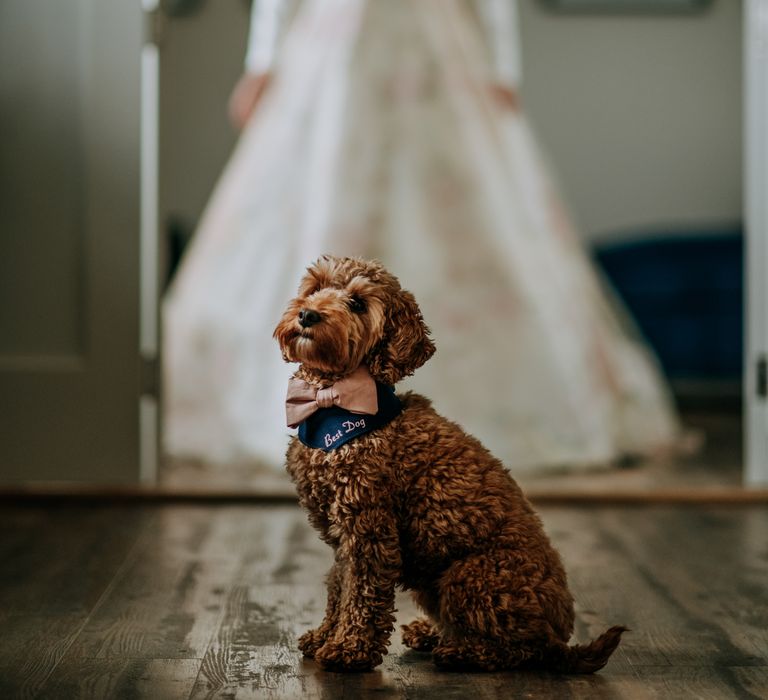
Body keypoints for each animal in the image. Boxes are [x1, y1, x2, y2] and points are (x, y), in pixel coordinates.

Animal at [272, 256, 628, 672]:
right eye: (315, 288)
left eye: (357, 304)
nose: (307, 314)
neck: (333, 404)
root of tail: (562, 638)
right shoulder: (341, 533)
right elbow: (337, 585)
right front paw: (325, 635)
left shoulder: (369, 530)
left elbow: (361, 593)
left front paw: (349, 650)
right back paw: (431, 633)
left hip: (468, 577)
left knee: (520, 651)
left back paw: (459, 651)